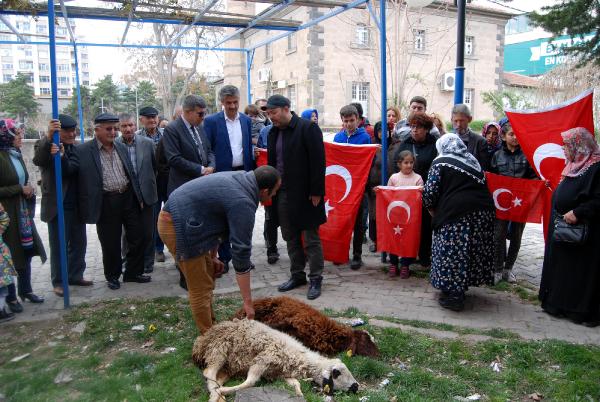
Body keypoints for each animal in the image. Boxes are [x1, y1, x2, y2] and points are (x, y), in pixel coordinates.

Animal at [195, 318, 358, 400]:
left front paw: (299, 393)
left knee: (215, 379)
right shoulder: (262, 360)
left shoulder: (280, 373)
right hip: (218, 349)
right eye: (337, 373)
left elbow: (295, 383)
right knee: (208, 373)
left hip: (229, 366)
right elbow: (250, 382)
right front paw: (224, 391)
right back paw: (217, 393)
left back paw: (216, 395)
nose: (356, 387)